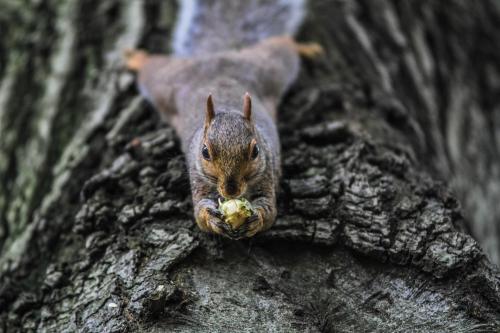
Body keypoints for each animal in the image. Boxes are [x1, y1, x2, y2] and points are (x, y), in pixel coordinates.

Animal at [123, 0, 322, 239]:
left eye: (255, 151)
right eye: (205, 152)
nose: (231, 190)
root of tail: (219, 56)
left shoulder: (266, 173)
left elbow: (269, 211)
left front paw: (256, 218)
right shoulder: (198, 177)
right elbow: (200, 213)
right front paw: (211, 218)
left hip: (269, 68)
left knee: (282, 45)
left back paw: (306, 48)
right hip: (167, 82)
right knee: (151, 68)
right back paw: (136, 58)